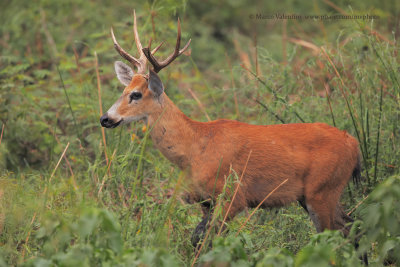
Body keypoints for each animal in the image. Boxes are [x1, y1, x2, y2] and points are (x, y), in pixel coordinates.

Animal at [101, 11, 366, 260]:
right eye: (123, 89)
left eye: (136, 94)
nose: (105, 118)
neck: (195, 145)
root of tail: (354, 144)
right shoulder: (205, 201)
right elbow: (200, 240)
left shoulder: (233, 196)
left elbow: (207, 242)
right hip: (317, 194)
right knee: (353, 228)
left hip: (323, 189)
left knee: (334, 237)